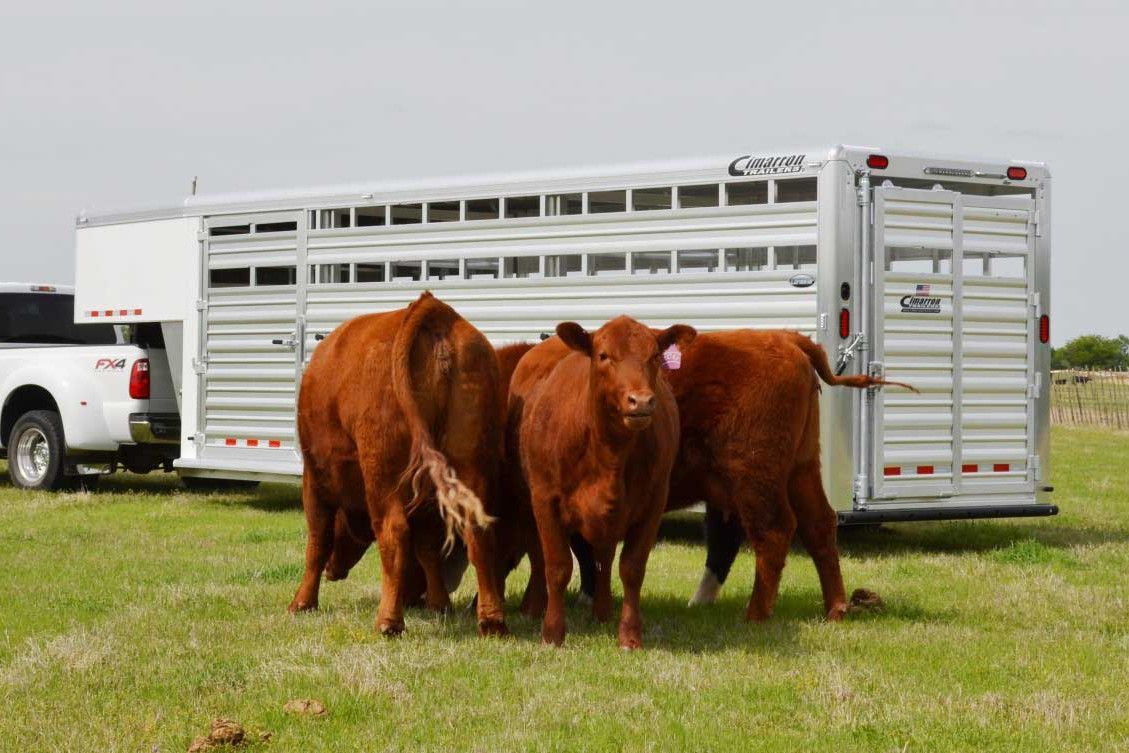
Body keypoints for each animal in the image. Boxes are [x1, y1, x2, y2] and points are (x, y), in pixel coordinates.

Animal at [287, 292, 508, 637]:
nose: (333, 571)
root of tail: (434, 310)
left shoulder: (315, 477)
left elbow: (317, 540)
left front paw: (302, 602)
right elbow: (428, 547)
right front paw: (439, 603)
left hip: (382, 471)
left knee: (394, 531)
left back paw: (389, 621)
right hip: (470, 462)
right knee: (476, 530)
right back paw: (492, 620)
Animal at [512, 316, 696, 648]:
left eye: (654, 357)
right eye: (603, 356)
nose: (641, 401)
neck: (609, 451)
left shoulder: (653, 503)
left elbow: (632, 567)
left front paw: (630, 636)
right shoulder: (544, 498)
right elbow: (557, 566)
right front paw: (552, 632)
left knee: (605, 557)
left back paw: (603, 610)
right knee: (538, 553)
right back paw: (533, 606)